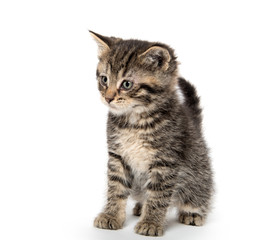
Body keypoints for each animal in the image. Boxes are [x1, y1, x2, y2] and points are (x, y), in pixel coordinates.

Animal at [90, 31, 213, 236]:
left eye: (127, 84)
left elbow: (158, 194)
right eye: (104, 79)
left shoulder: (165, 161)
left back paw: (193, 213)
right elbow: (116, 187)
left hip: (199, 171)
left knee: (198, 190)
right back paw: (140, 207)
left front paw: (151, 222)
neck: (134, 121)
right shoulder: (117, 156)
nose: (108, 98)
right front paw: (111, 215)